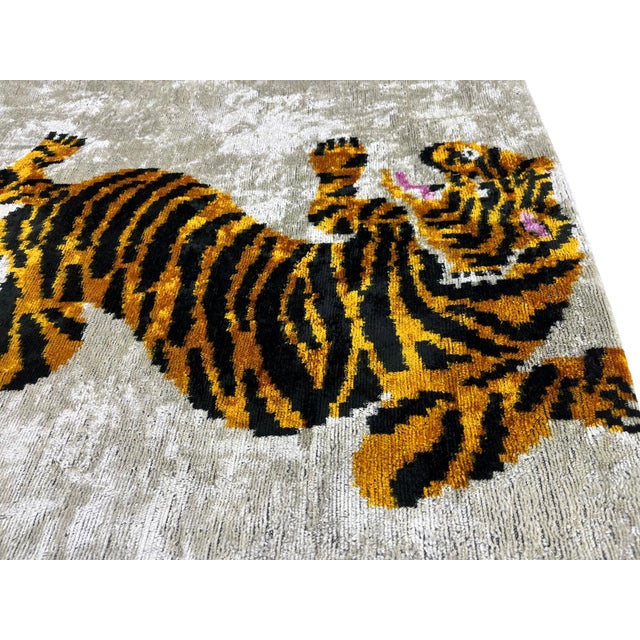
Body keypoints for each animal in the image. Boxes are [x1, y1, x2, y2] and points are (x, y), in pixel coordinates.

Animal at [0, 132, 638, 508]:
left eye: (479, 167)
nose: (440, 145)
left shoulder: (422, 417)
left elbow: (527, 392)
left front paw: (608, 385)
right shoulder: (375, 226)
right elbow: (336, 204)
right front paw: (338, 156)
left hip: (52, 308)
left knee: (20, 199)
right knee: (19, 181)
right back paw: (57, 143)